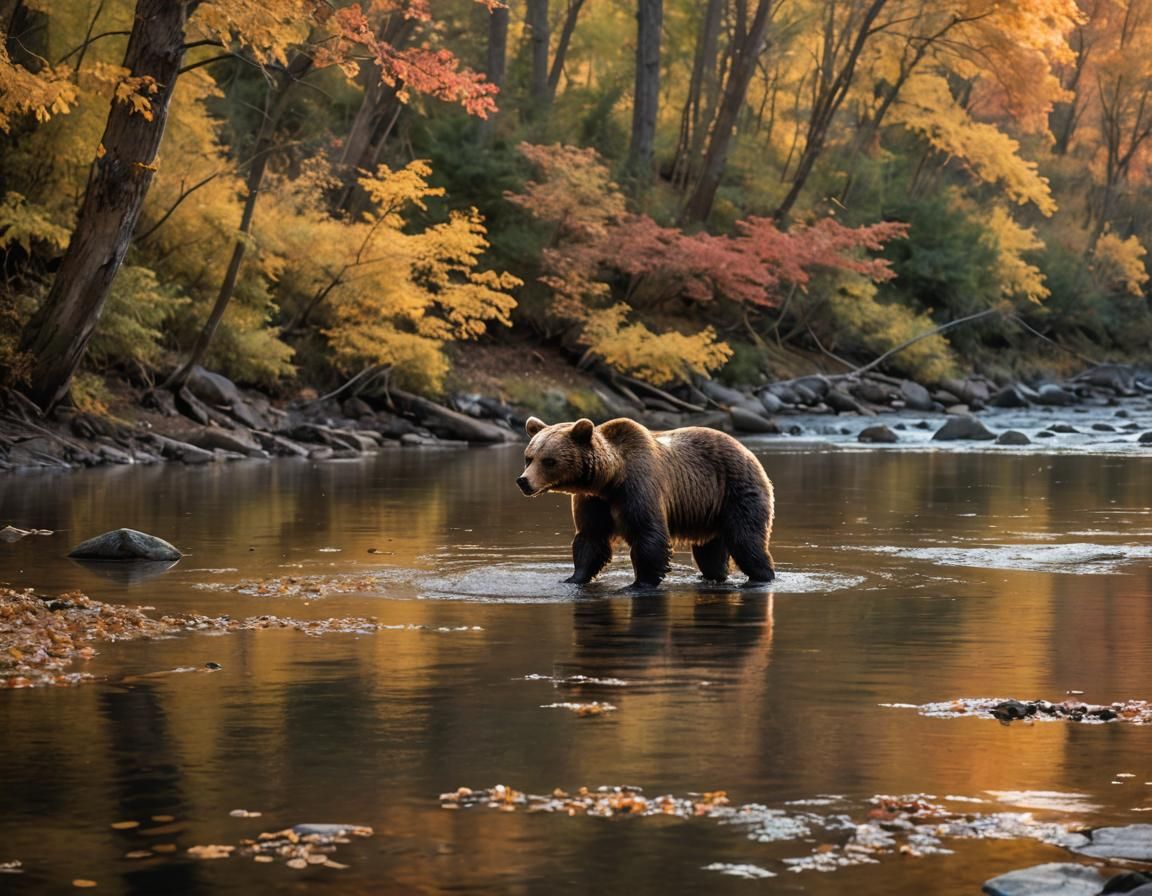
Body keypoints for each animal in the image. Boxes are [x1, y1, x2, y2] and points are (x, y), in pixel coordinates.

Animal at [516, 416, 775, 588]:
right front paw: (574, 577)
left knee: (746, 540)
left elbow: (648, 534)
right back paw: (714, 575)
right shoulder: (594, 501)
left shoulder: (637, 487)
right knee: (710, 552)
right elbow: (590, 538)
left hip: (736, 491)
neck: (610, 479)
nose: (523, 481)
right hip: (709, 510)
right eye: (529, 457)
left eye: (549, 461)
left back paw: (762, 575)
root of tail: (748, 451)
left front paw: (640, 583)